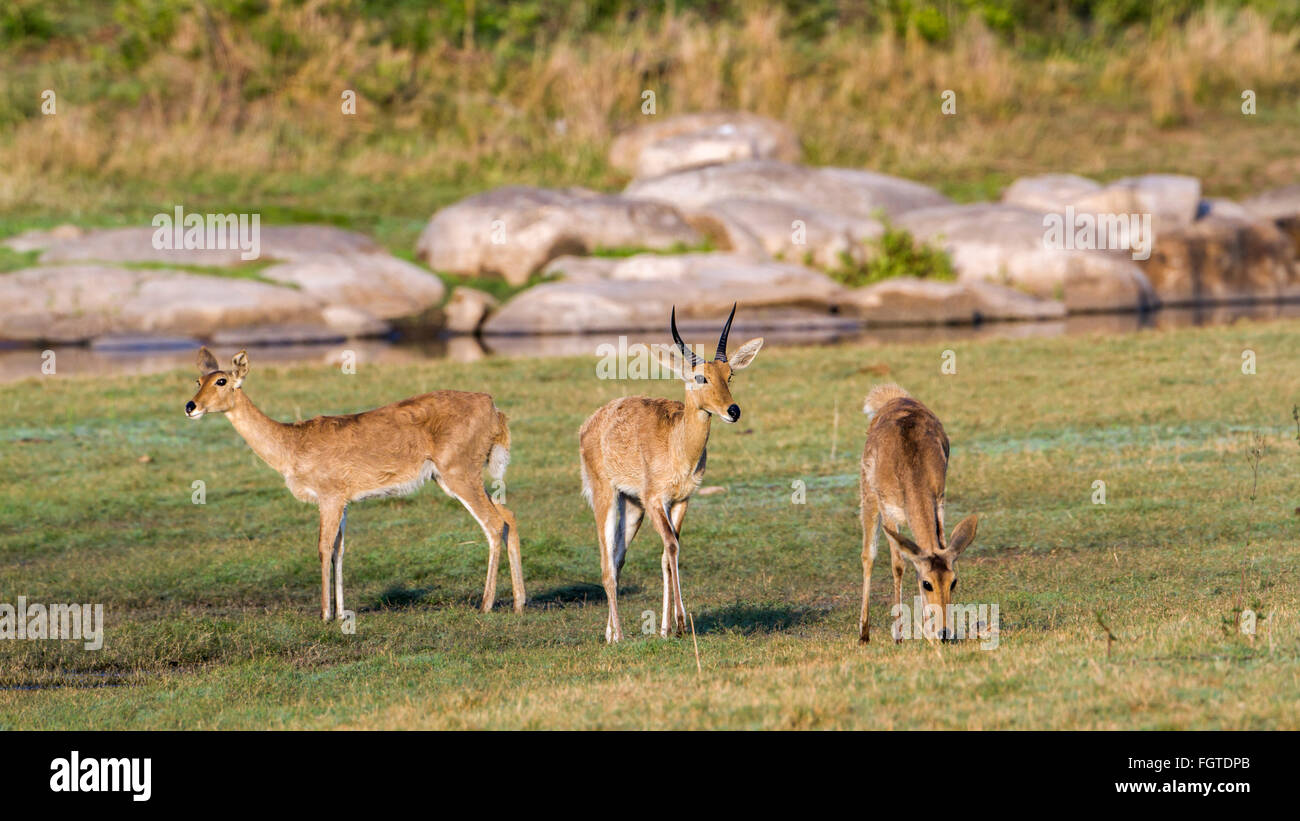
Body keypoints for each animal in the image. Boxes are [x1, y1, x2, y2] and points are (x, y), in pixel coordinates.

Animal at [184, 345, 527, 620]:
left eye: (221, 380)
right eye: (197, 381)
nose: (191, 406)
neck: (291, 446)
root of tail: (493, 408)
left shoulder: (330, 495)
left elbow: (323, 547)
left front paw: (324, 615)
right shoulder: (345, 500)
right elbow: (340, 549)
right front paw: (340, 612)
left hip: (459, 471)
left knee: (493, 523)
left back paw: (485, 605)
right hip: (455, 475)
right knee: (508, 516)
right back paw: (519, 603)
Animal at [579, 305, 759, 644]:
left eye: (729, 374)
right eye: (700, 377)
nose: (733, 410)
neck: (677, 444)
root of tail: (591, 422)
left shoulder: (681, 500)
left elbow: (667, 553)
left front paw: (665, 629)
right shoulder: (655, 500)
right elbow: (672, 547)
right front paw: (680, 623)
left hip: (632, 505)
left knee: (618, 559)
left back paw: (610, 633)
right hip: (606, 496)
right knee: (606, 563)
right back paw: (618, 635)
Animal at [857, 381, 977, 644]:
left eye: (953, 581)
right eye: (927, 584)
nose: (945, 633)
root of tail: (893, 396)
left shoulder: (939, 500)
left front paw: (928, 630)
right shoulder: (888, 508)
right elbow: (898, 564)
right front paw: (898, 635)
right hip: (868, 494)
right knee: (868, 555)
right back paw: (863, 633)